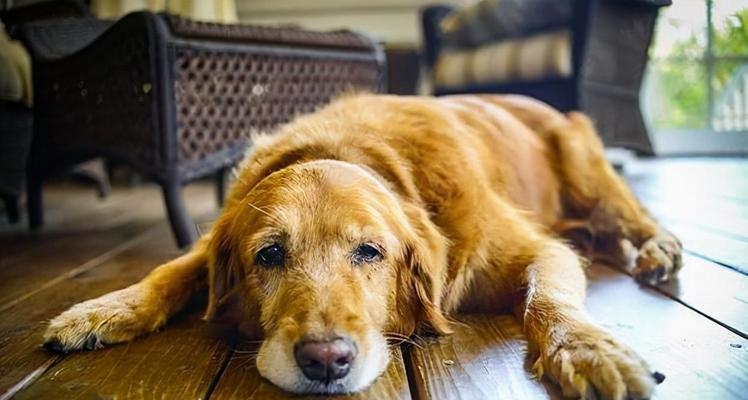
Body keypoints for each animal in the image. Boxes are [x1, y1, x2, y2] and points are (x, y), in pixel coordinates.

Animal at [43, 94, 680, 396]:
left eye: (370, 252)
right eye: (269, 255)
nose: (326, 361)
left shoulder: (536, 251)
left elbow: (548, 300)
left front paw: (588, 351)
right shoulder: (213, 242)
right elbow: (169, 271)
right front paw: (102, 311)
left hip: (585, 164)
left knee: (632, 216)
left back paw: (658, 249)